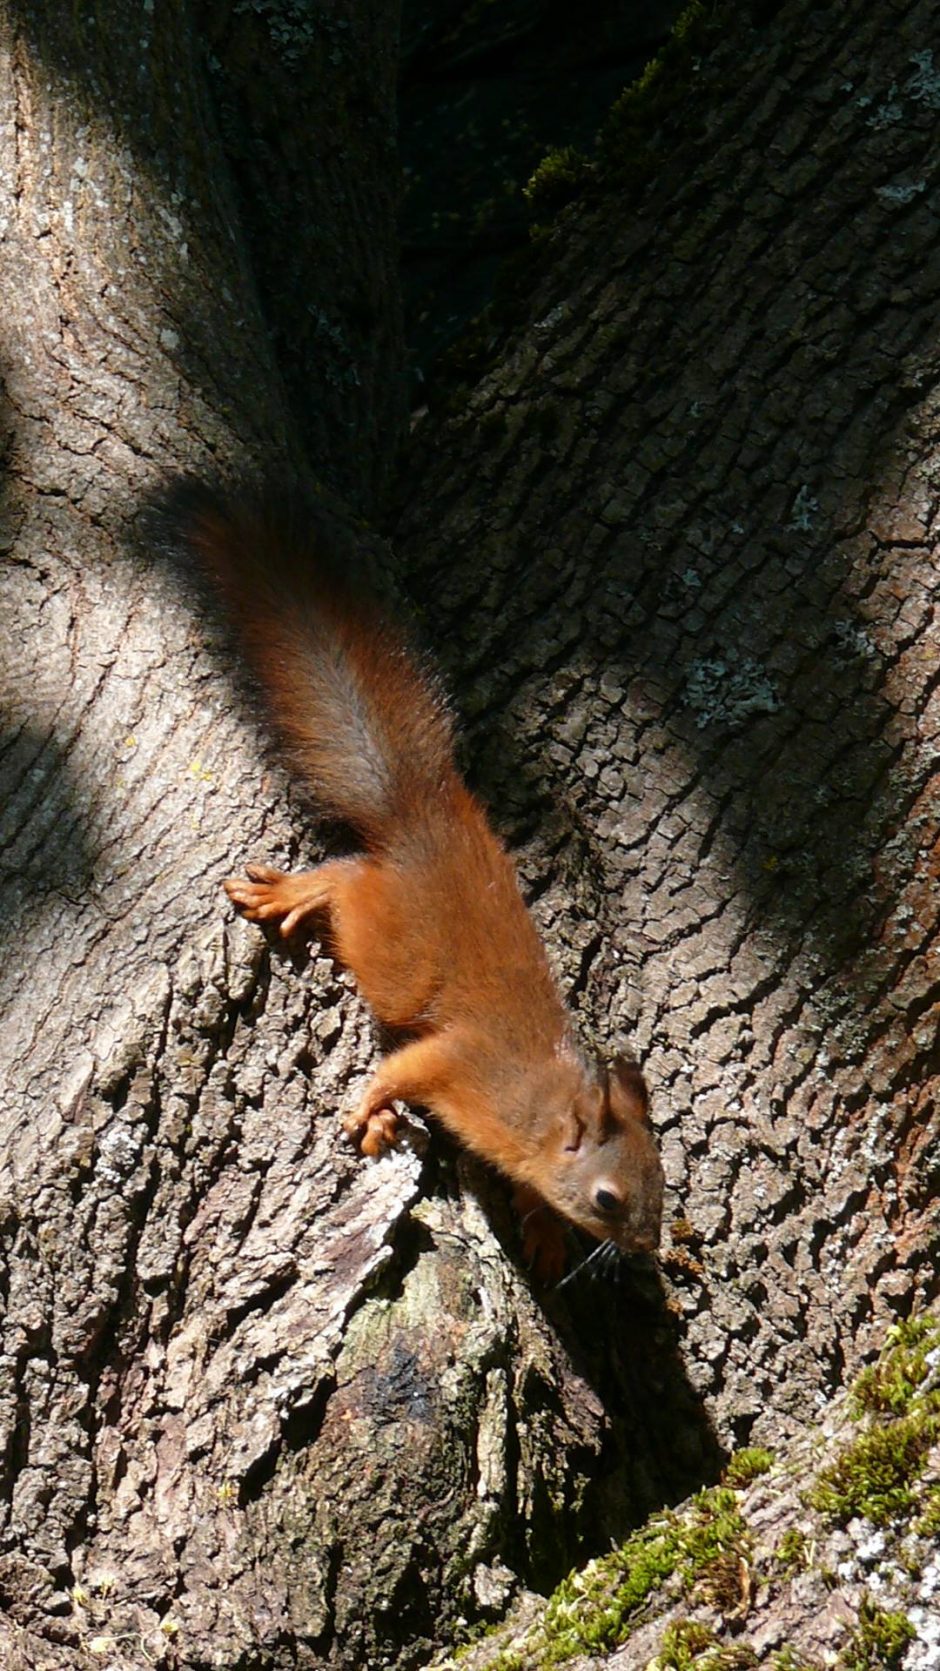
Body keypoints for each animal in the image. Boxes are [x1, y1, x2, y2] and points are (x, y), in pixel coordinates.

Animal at [183, 487, 664, 1269]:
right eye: (607, 1199)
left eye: (662, 1184)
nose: (647, 1250)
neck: (541, 1109)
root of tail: (421, 813)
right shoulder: (460, 1064)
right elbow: (403, 1069)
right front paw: (370, 1107)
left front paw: (541, 1230)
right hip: (396, 957)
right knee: (352, 880)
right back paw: (300, 890)